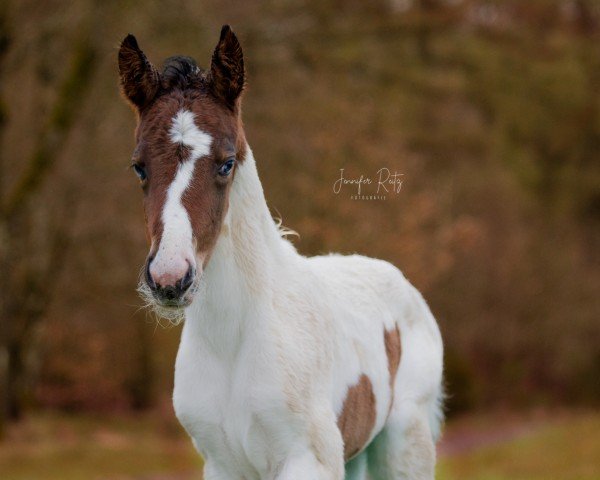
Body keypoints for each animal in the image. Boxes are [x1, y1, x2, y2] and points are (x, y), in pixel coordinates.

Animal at [119, 25, 442, 480]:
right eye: (139, 166)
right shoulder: (221, 465)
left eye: (227, 163)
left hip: (405, 446)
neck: (234, 341)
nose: (169, 279)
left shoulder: (308, 460)